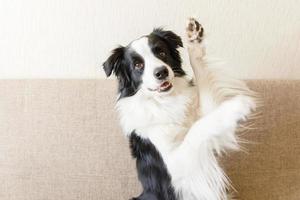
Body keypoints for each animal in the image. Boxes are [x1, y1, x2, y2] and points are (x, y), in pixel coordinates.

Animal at [102, 18, 255, 199]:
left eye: (161, 53)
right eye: (138, 65)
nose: (161, 72)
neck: (165, 102)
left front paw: (194, 41)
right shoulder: (177, 166)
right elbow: (196, 131)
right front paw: (237, 106)